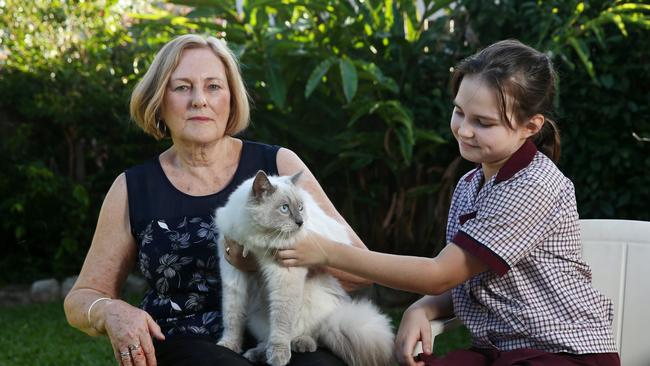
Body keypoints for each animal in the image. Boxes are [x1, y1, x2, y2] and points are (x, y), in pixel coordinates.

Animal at [215, 171, 392, 366]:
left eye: (300, 208)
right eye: (284, 208)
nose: (300, 222)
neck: (257, 240)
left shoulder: (285, 277)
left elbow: (281, 322)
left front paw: (279, 357)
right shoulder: (232, 274)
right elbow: (232, 316)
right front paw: (228, 345)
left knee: (314, 336)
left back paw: (300, 344)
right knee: (266, 337)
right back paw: (257, 353)